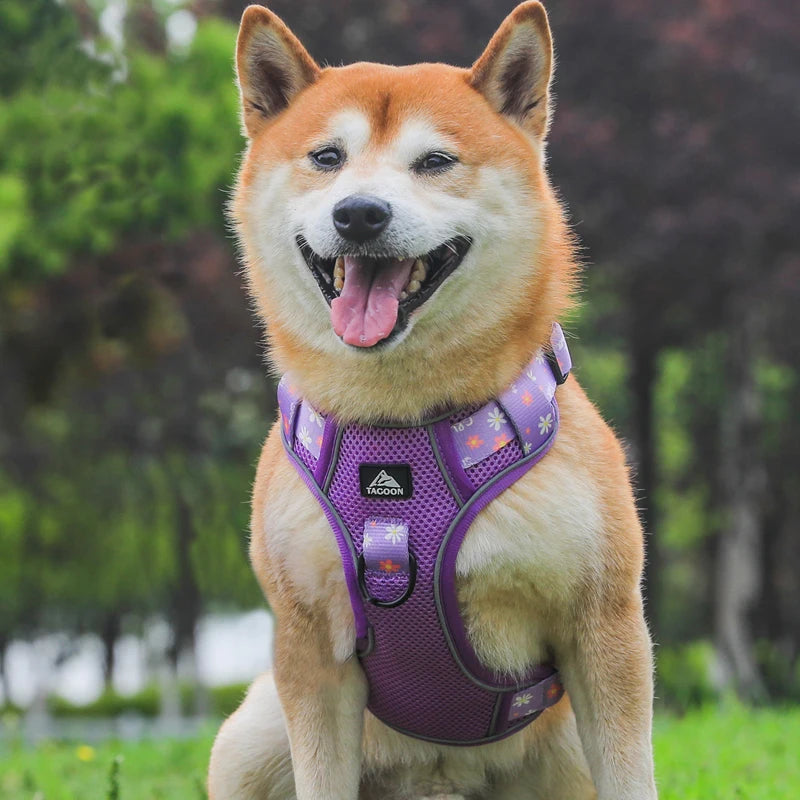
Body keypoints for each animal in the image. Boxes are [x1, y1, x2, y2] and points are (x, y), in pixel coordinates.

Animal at [206, 4, 656, 800]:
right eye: (328, 157)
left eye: (436, 162)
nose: (359, 213)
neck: (399, 429)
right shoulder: (307, 645)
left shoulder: (604, 625)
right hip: (250, 736)